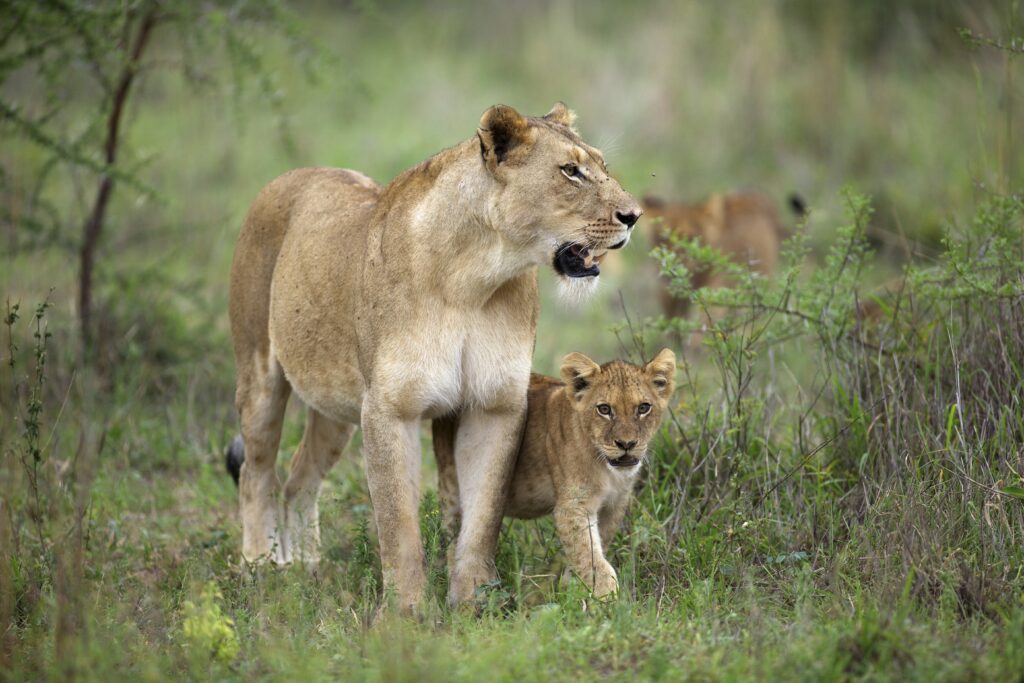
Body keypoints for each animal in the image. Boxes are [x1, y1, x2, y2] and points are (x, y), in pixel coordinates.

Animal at [227, 104, 638, 610]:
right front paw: (405, 614)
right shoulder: (389, 408)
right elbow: (398, 523)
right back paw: (260, 567)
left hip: (335, 406)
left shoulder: (494, 405)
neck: (473, 278)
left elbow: (483, 515)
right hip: (260, 376)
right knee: (256, 472)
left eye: (603, 167)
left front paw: (476, 600)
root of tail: (293, 174)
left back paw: (306, 570)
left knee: (299, 478)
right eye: (570, 172)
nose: (634, 215)